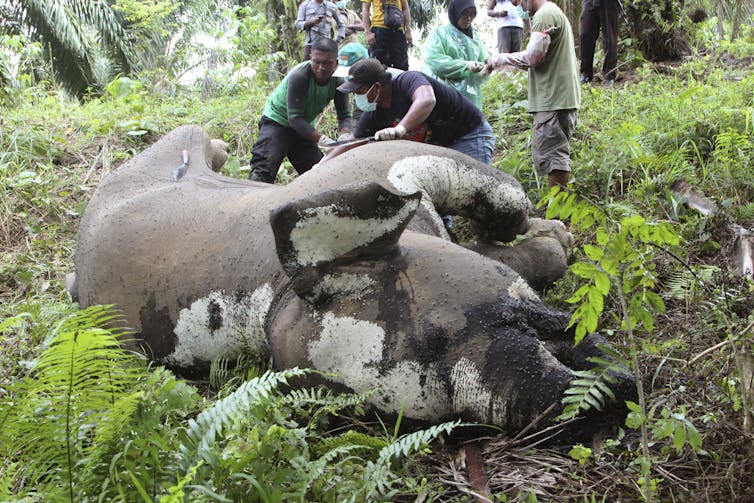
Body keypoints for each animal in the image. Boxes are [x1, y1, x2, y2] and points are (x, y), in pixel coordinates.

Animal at [72, 125, 634, 437]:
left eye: (435, 334)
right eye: (435, 356)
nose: (558, 398)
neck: (272, 294)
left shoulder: (421, 166)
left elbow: (516, 225)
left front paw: (552, 231)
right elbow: (533, 255)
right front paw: (551, 238)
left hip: (187, 143)